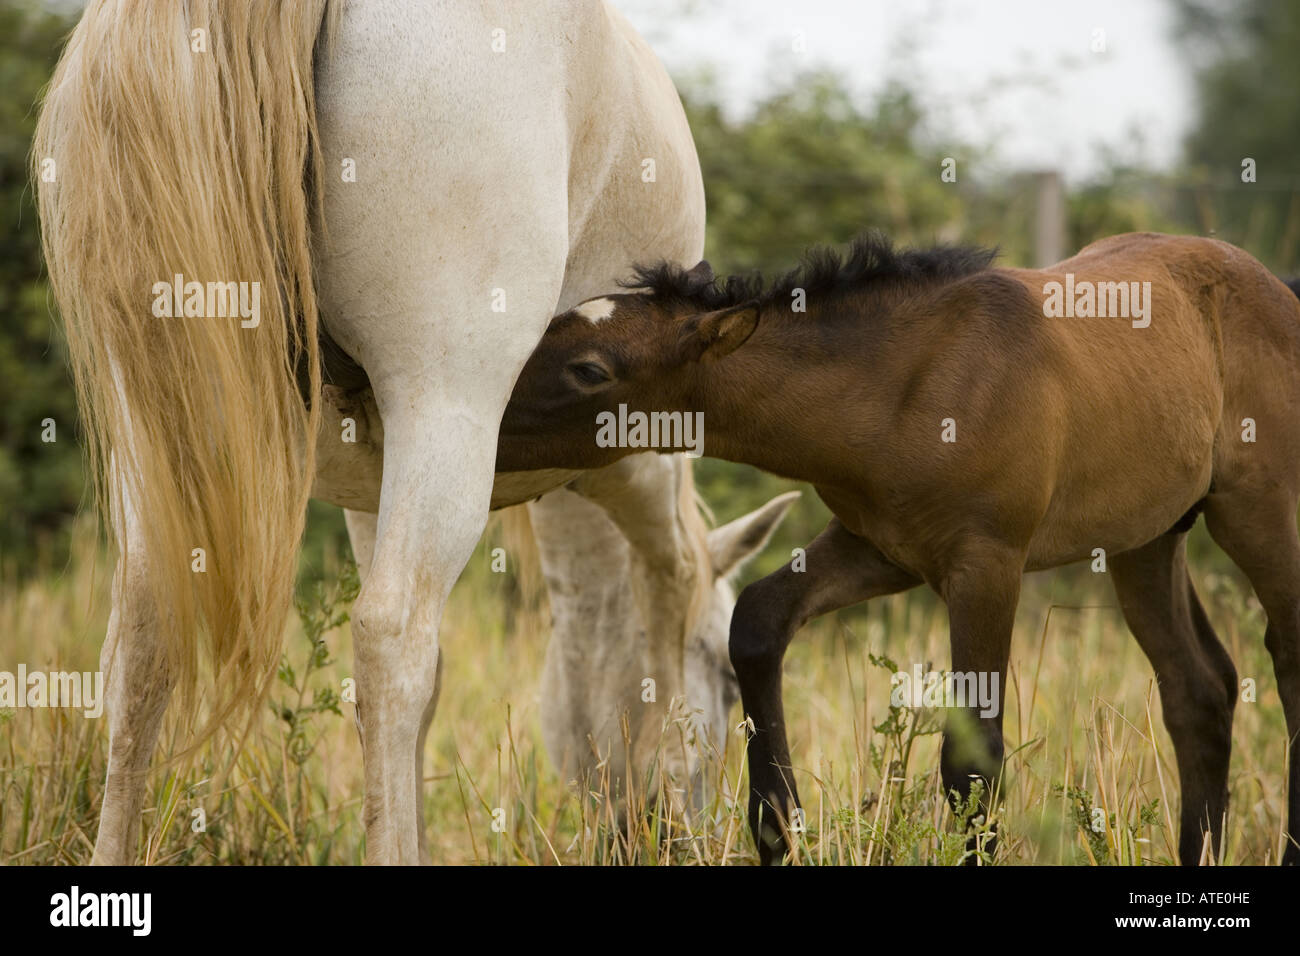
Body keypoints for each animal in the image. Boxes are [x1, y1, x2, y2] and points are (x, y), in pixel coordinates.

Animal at [35, 0, 748, 868]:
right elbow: (669, 588)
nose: (677, 832)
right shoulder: (644, 464)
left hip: (159, 431)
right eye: (728, 677)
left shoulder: (367, 496)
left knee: (144, 643)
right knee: (390, 639)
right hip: (445, 409)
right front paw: (672, 764)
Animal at [493, 234, 1300, 868]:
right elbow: (757, 621)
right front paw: (777, 829)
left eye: (590, 369)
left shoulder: (987, 564)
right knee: (1199, 688)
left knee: (1284, 659)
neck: (906, 381)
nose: (489, 431)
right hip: (1147, 539)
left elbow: (975, 756)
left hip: (1261, 514)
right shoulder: (878, 547)